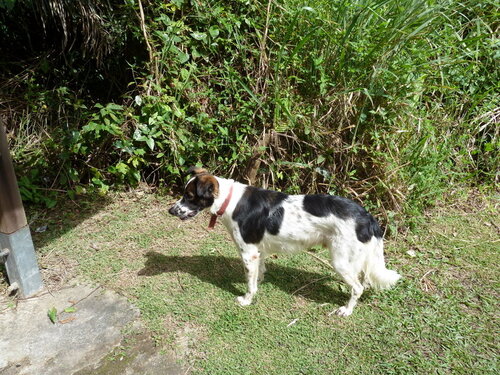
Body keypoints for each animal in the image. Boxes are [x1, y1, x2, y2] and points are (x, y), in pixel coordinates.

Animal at [170, 168, 400, 318]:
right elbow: (258, 273)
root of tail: (368, 217)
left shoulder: (248, 253)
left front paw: (247, 300)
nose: (171, 210)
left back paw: (347, 310)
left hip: (341, 261)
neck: (230, 201)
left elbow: (249, 283)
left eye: (189, 196)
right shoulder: (258, 251)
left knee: (358, 288)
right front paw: (259, 284)